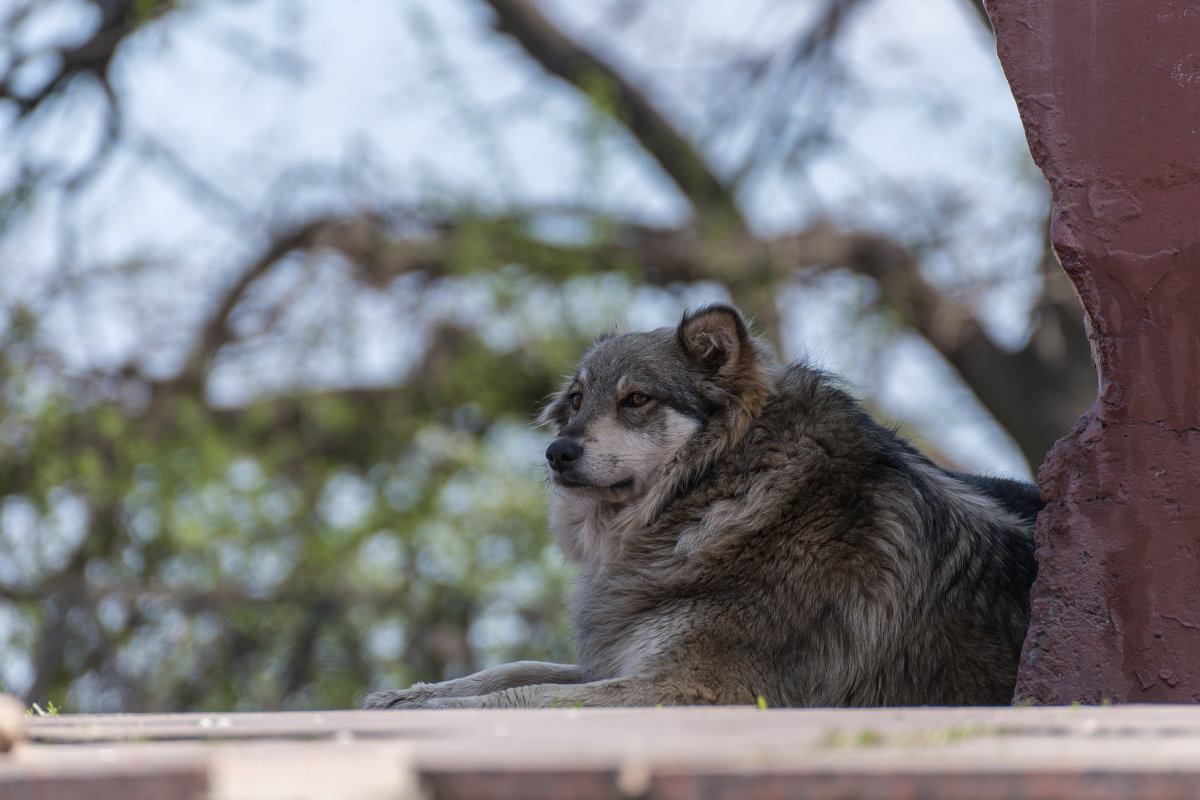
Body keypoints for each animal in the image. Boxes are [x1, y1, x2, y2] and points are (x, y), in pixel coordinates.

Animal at [364, 303, 1041, 710]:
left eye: (636, 399)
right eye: (578, 399)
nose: (556, 452)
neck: (715, 492)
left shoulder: (693, 685)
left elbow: (520, 697)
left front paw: (438, 708)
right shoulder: (625, 657)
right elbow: (516, 670)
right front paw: (408, 695)